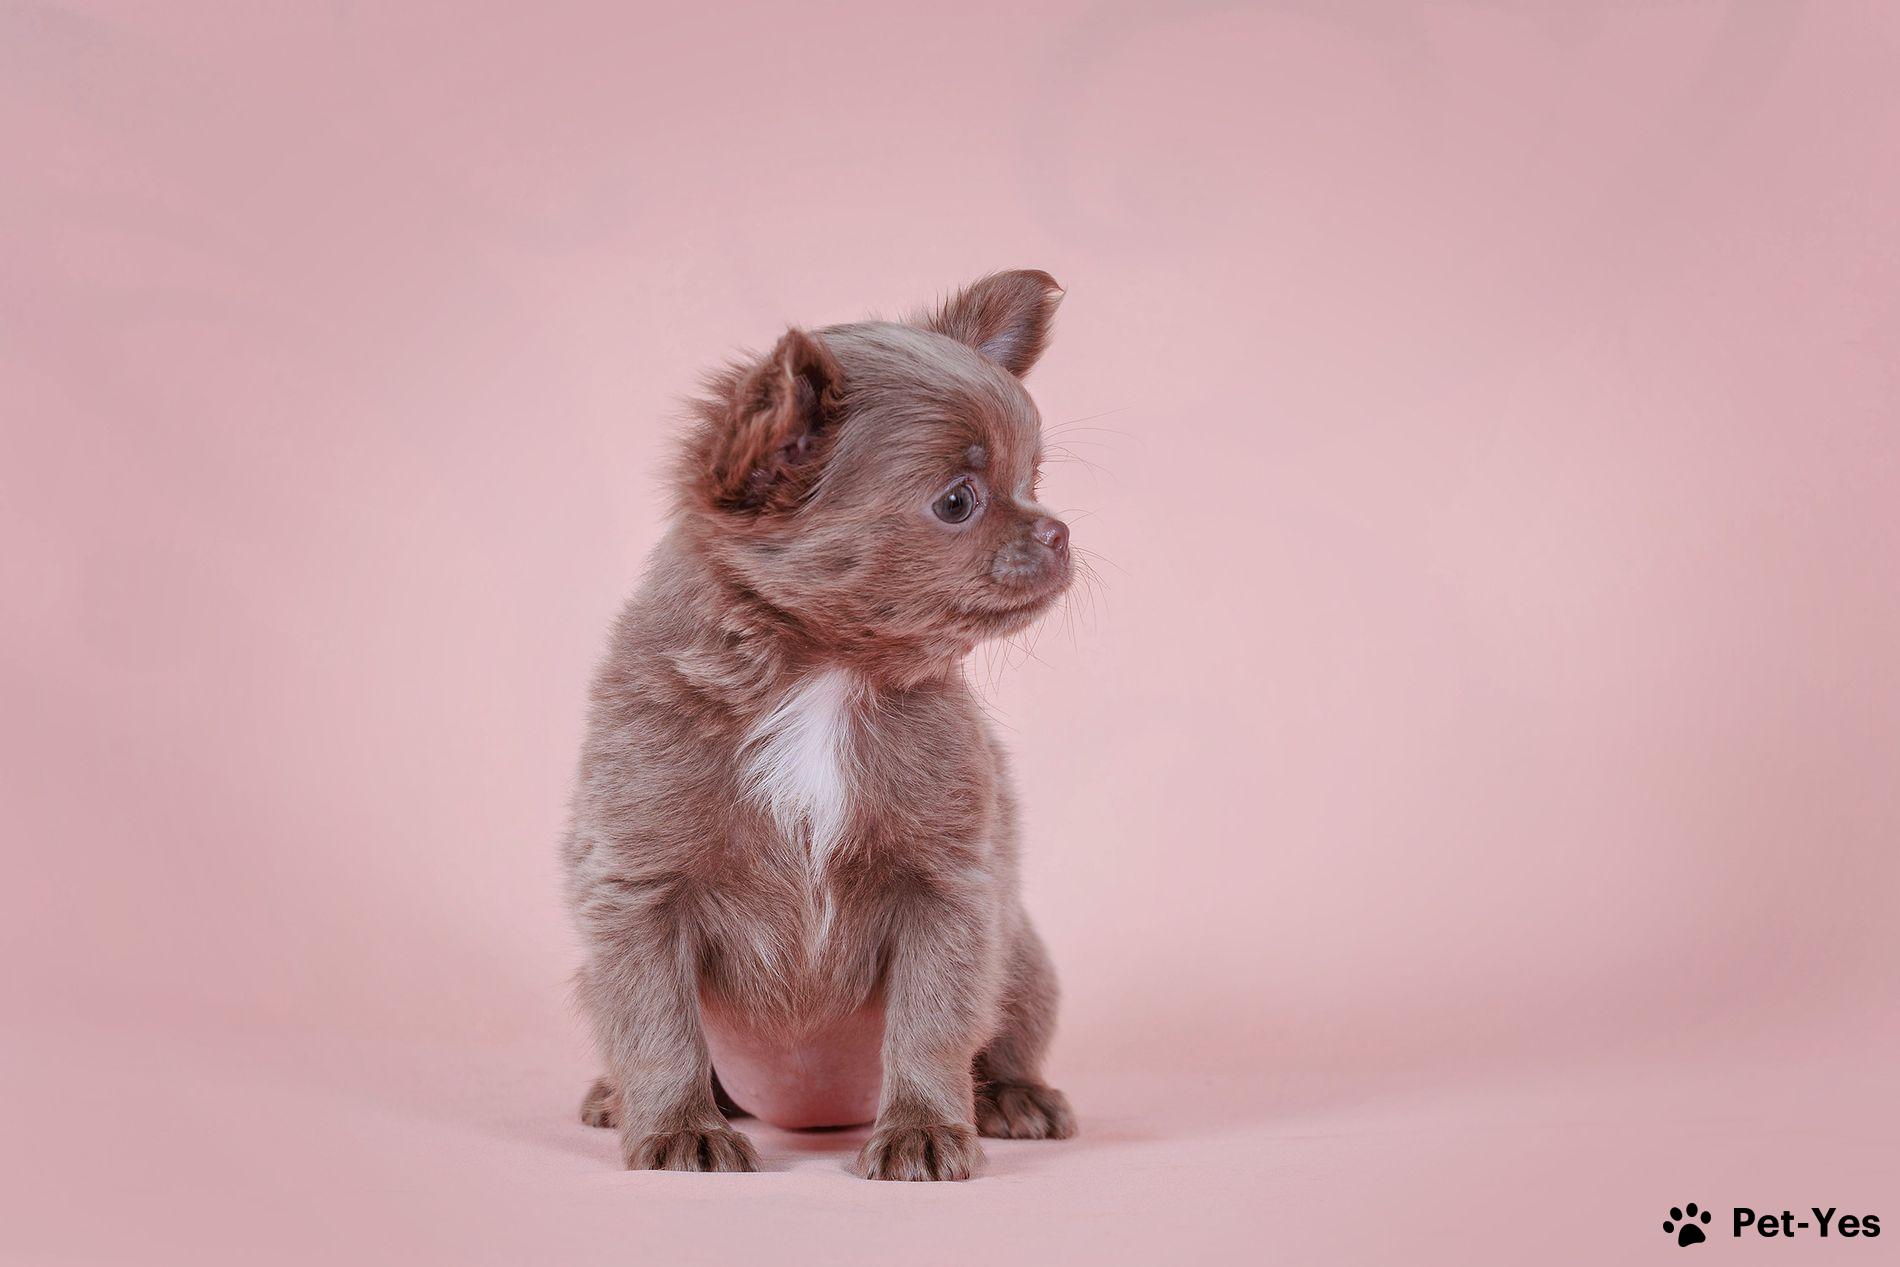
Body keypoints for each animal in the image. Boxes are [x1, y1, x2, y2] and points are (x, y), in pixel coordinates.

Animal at [562, 270, 1077, 1180]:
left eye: (1035, 477)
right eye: (957, 502)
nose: (1059, 529)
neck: (827, 676)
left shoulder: (951, 889)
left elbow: (931, 1020)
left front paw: (923, 1127)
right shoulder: (634, 891)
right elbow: (659, 1024)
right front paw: (678, 1128)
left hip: (1022, 957)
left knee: (1007, 1033)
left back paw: (1014, 1096)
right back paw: (620, 1095)